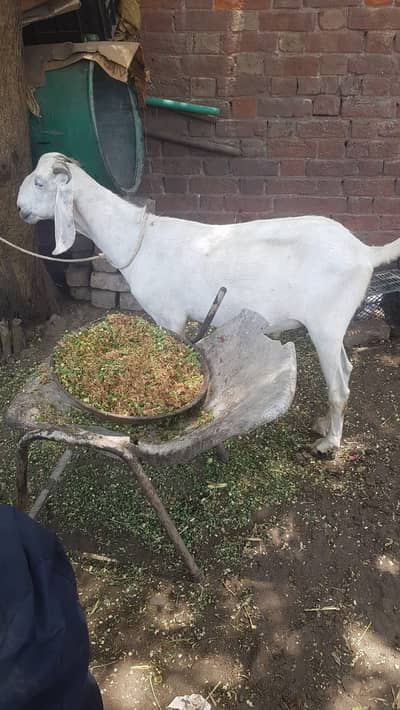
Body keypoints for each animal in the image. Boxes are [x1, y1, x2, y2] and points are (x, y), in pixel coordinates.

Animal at [17, 152, 400, 454]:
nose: (20, 209)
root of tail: (364, 252)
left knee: (339, 386)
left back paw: (329, 444)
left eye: (40, 183)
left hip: (326, 325)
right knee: (346, 370)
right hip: (331, 327)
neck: (137, 238)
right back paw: (324, 425)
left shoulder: (169, 315)